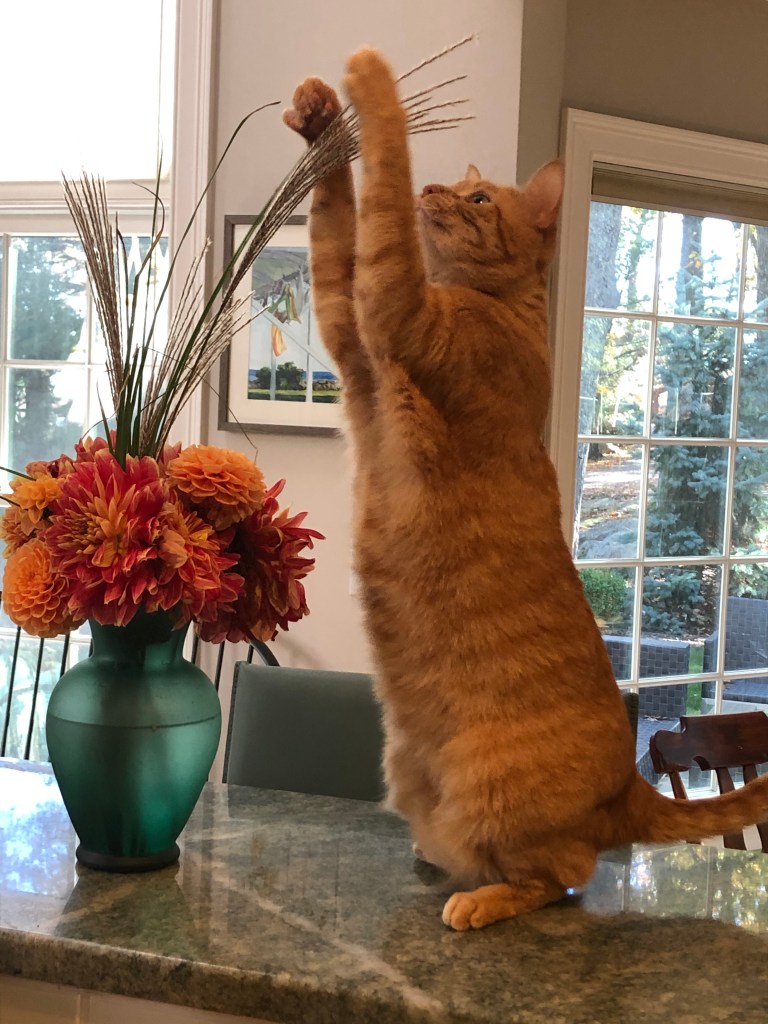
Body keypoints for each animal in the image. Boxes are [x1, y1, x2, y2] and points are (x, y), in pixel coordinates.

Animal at [284, 50, 768, 931]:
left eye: (478, 200)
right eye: (456, 184)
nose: (437, 190)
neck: (486, 305)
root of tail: (627, 788)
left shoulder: (393, 307)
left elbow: (380, 198)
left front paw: (369, 82)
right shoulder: (350, 323)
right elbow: (339, 218)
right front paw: (321, 117)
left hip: (494, 793)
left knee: (568, 872)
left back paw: (482, 898)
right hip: (409, 773)